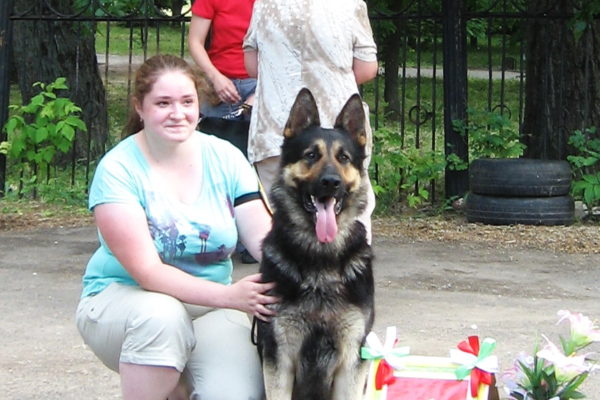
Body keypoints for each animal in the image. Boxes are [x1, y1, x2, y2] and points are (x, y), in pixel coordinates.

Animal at [257, 88, 375, 400]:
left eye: (344, 157)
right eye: (311, 155)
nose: (331, 182)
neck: (321, 258)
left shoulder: (352, 359)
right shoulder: (279, 357)